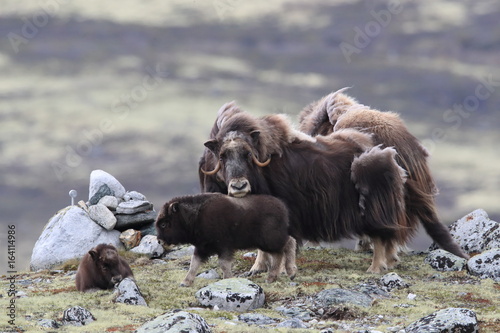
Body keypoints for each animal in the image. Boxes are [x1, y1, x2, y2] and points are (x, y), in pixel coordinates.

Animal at [157, 192, 296, 286]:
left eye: (164, 224)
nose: (159, 241)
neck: (195, 217)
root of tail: (282, 208)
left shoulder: (224, 247)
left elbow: (223, 264)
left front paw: (228, 279)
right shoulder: (202, 248)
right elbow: (194, 264)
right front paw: (185, 282)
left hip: (269, 241)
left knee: (283, 249)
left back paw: (277, 276)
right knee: (286, 246)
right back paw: (285, 275)